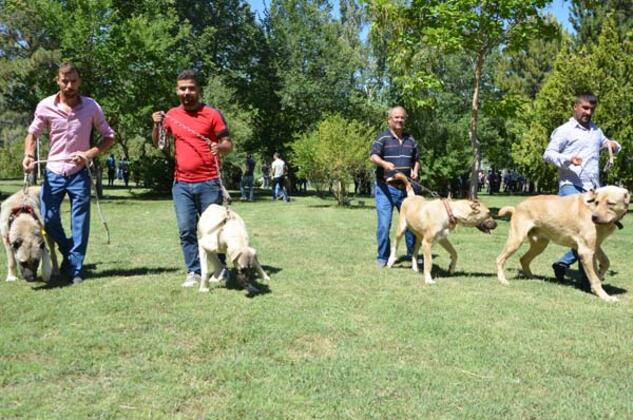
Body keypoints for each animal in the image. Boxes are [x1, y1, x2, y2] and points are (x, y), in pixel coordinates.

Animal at [496, 187, 628, 302]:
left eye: (611, 203)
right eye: (597, 202)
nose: (594, 218)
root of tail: (517, 207)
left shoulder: (595, 246)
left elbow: (606, 262)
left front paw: (600, 274)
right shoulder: (585, 250)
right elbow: (595, 280)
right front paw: (605, 296)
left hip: (540, 244)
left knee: (523, 259)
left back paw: (533, 278)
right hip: (517, 239)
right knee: (500, 259)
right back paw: (502, 280)